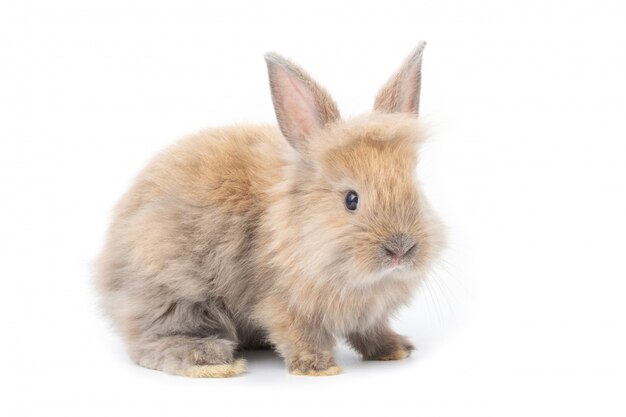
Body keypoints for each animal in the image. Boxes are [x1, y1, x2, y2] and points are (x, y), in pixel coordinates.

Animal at [95, 42, 442, 376]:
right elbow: (295, 333)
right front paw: (317, 366)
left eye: (415, 188)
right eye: (351, 200)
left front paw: (395, 349)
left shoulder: (367, 316)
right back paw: (213, 362)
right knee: (151, 343)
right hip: (176, 292)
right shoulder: (280, 302)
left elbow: (371, 331)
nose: (401, 249)